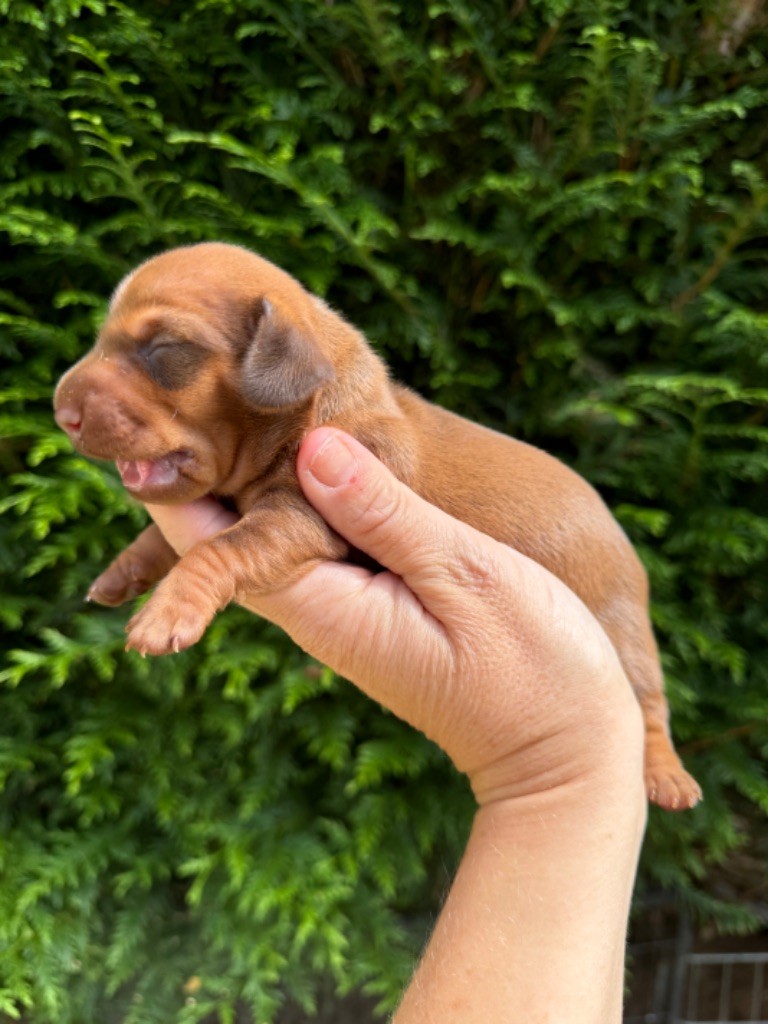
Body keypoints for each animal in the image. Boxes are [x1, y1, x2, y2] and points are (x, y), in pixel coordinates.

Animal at [54, 239, 704, 806]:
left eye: (164, 347)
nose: (59, 411)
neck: (306, 407)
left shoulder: (305, 514)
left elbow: (222, 547)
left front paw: (166, 612)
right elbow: (170, 539)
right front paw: (125, 570)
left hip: (624, 627)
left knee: (651, 707)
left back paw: (667, 777)